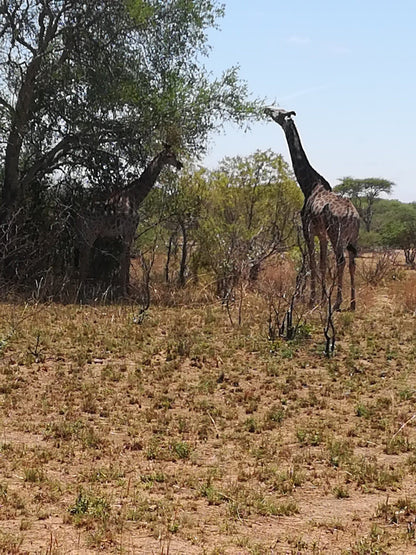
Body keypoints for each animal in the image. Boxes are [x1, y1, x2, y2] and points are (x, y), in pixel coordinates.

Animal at [76, 143, 182, 294]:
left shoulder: (125, 233)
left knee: (82, 256)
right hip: (90, 233)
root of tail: (78, 215)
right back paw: (81, 290)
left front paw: (125, 289)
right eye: (169, 155)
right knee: (84, 256)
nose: (180, 164)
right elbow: (125, 259)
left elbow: (125, 259)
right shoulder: (129, 230)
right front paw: (124, 292)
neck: (136, 197)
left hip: (83, 234)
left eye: (174, 154)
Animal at [264, 106, 360, 310]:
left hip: (337, 235)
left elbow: (312, 263)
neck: (308, 184)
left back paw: (338, 302)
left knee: (340, 261)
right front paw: (323, 299)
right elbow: (322, 264)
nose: (266, 109)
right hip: (353, 238)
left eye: (279, 112)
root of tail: (352, 215)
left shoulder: (307, 229)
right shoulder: (321, 234)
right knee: (352, 263)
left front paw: (313, 299)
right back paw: (353, 303)